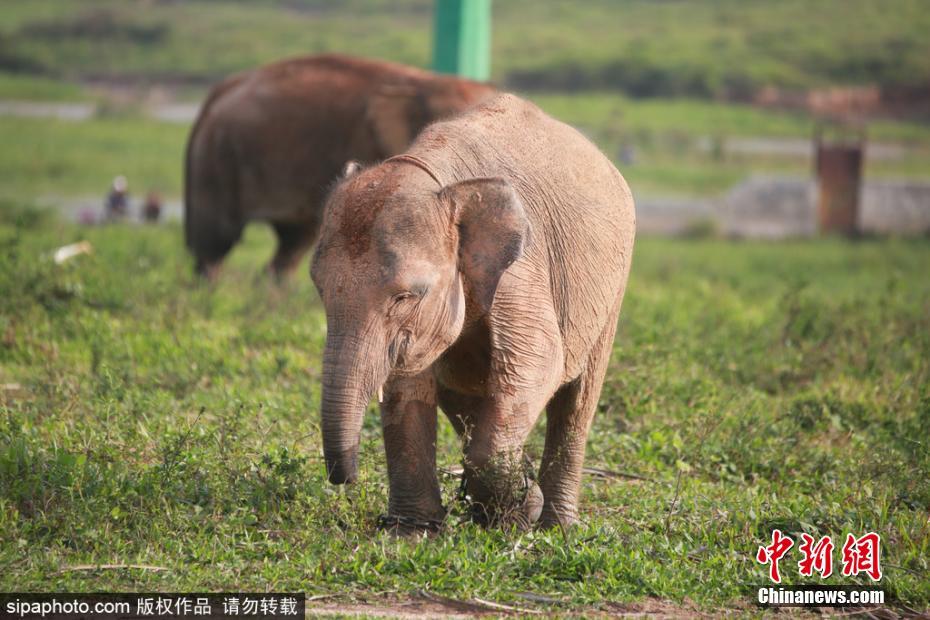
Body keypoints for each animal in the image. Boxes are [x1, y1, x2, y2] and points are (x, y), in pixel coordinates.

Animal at [310, 93, 632, 532]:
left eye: (406, 296)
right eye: (319, 289)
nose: (346, 479)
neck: (441, 182)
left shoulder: (521, 267)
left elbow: (539, 361)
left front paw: (519, 511)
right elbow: (408, 385)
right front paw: (413, 533)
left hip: (613, 287)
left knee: (577, 400)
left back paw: (555, 526)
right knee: (463, 398)